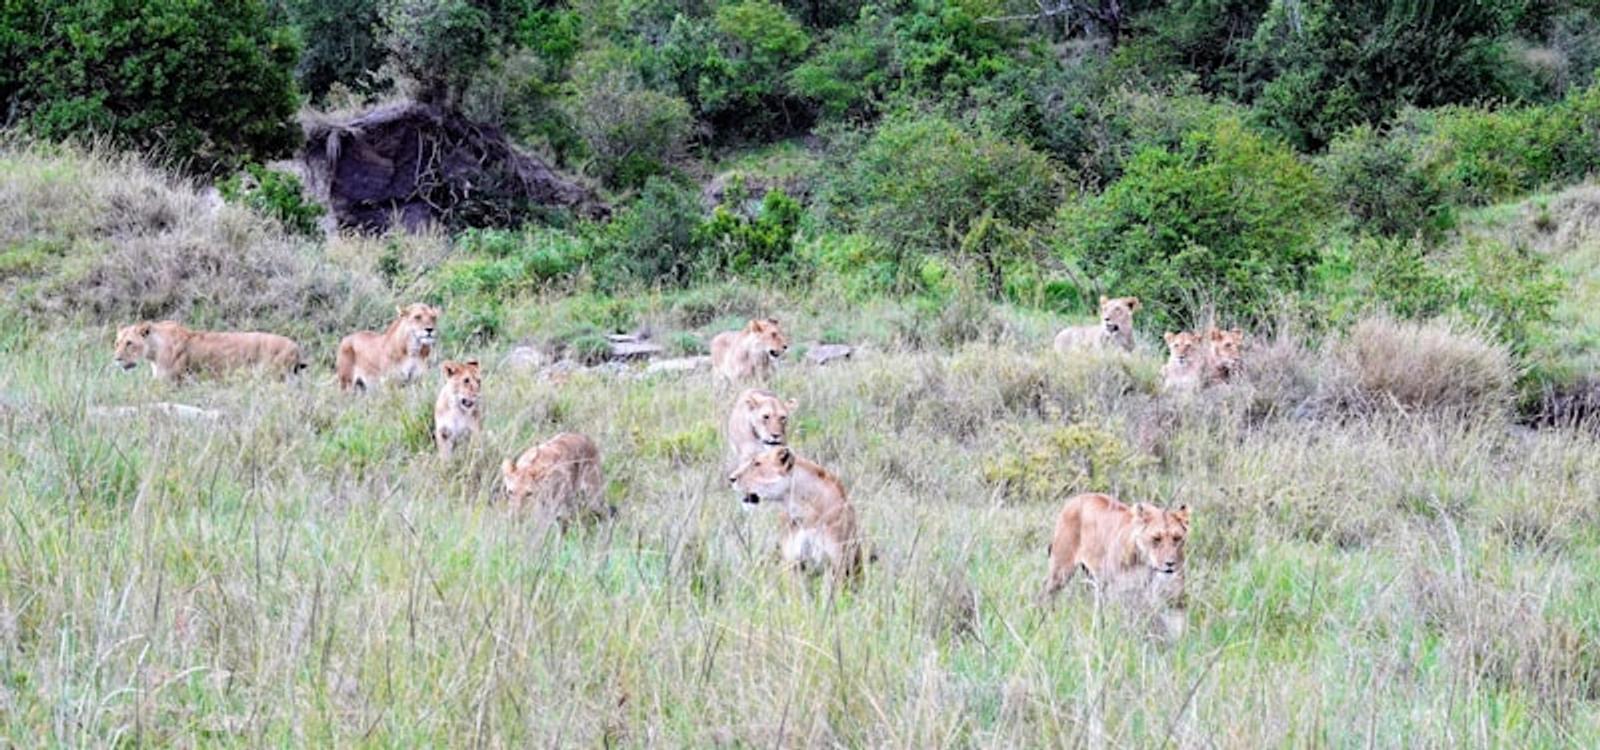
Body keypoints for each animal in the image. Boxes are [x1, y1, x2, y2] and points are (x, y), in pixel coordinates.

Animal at [1040, 493, 1189, 622]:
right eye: (1156, 539)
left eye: (1177, 538)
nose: (1170, 563)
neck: (1146, 563)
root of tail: (1076, 498)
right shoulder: (1117, 592)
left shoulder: (1170, 597)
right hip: (1061, 570)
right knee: (1047, 592)